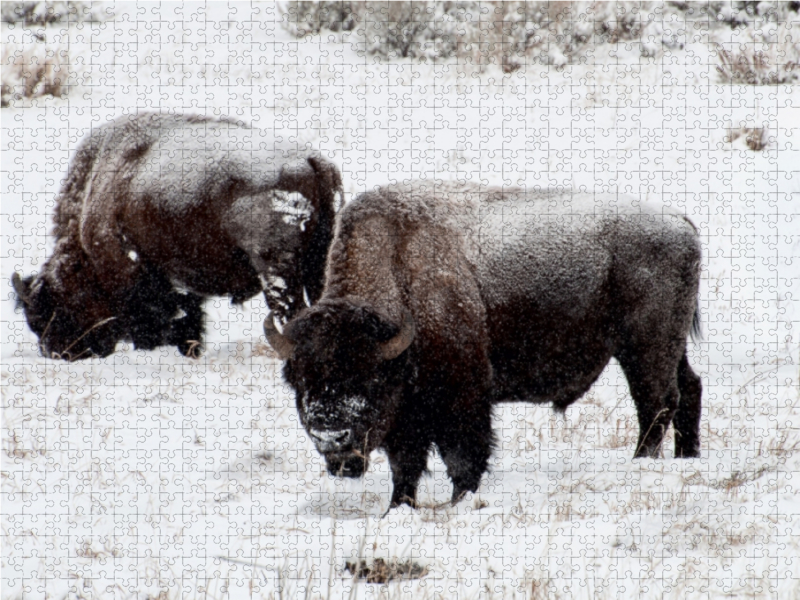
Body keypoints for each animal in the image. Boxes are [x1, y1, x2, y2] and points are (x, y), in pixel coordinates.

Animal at [266, 179, 704, 510]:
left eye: (369, 378)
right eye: (299, 380)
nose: (331, 437)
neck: (398, 267)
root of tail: (681, 223)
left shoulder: (463, 399)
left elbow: (463, 458)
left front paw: (461, 501)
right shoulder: (406, 417)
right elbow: (405, 466)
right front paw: (398, 507)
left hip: (645, 347)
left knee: (656, 402)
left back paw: (642, 462)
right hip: (668, 346)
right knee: (689, 389)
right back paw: (688, 457)